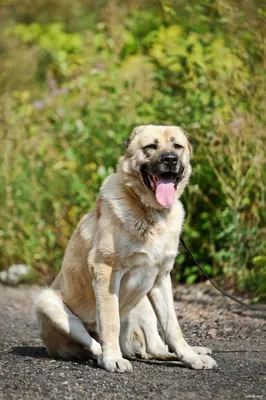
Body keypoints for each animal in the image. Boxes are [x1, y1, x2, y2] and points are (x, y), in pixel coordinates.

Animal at [35, 125, 218, 372]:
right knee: (94, 344)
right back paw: (107, 356)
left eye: (177, 146)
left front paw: (189, 356)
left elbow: (172, 326)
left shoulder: (160, 279)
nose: (170, 159)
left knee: (154, 349)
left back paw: (187, 352)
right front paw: (112, 359)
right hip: (47, 302)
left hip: (143, 301)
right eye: (151, 146)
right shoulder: (105, 270)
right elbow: (109, 320)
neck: (152, 212)